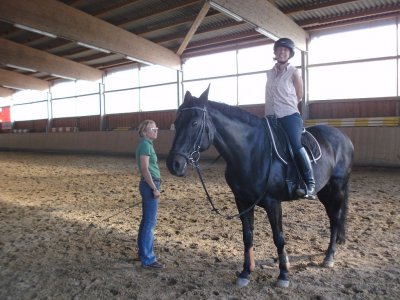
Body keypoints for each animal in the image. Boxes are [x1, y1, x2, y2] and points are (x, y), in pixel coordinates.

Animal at [166, 87, 354, 288]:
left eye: (194, 123)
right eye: (176, 122)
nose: (174, 164)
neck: (252, 151)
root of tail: (344, 137)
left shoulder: (273, 202)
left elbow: (278, 237)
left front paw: (283, 275)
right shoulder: (242, 201)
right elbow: (247, 235)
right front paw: (246, 272)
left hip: (336, 189)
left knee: (335, 219)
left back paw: (329, 257)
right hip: (325, 190)